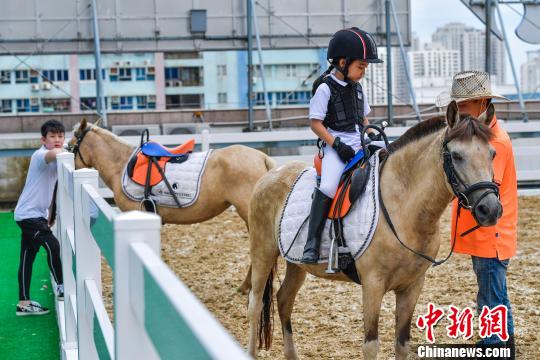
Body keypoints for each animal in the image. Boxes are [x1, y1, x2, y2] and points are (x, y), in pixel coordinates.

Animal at [247, 102, 500, 360]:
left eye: (492, 154)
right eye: (457, 156)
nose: (490, 209)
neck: (403, 206)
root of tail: (270, 174)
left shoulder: (412, 286)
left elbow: (402, 343)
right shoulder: (372, 285)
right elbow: (371, 345)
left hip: (296, 263)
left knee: (284, 300)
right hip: (263, 252)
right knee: (255, 305)